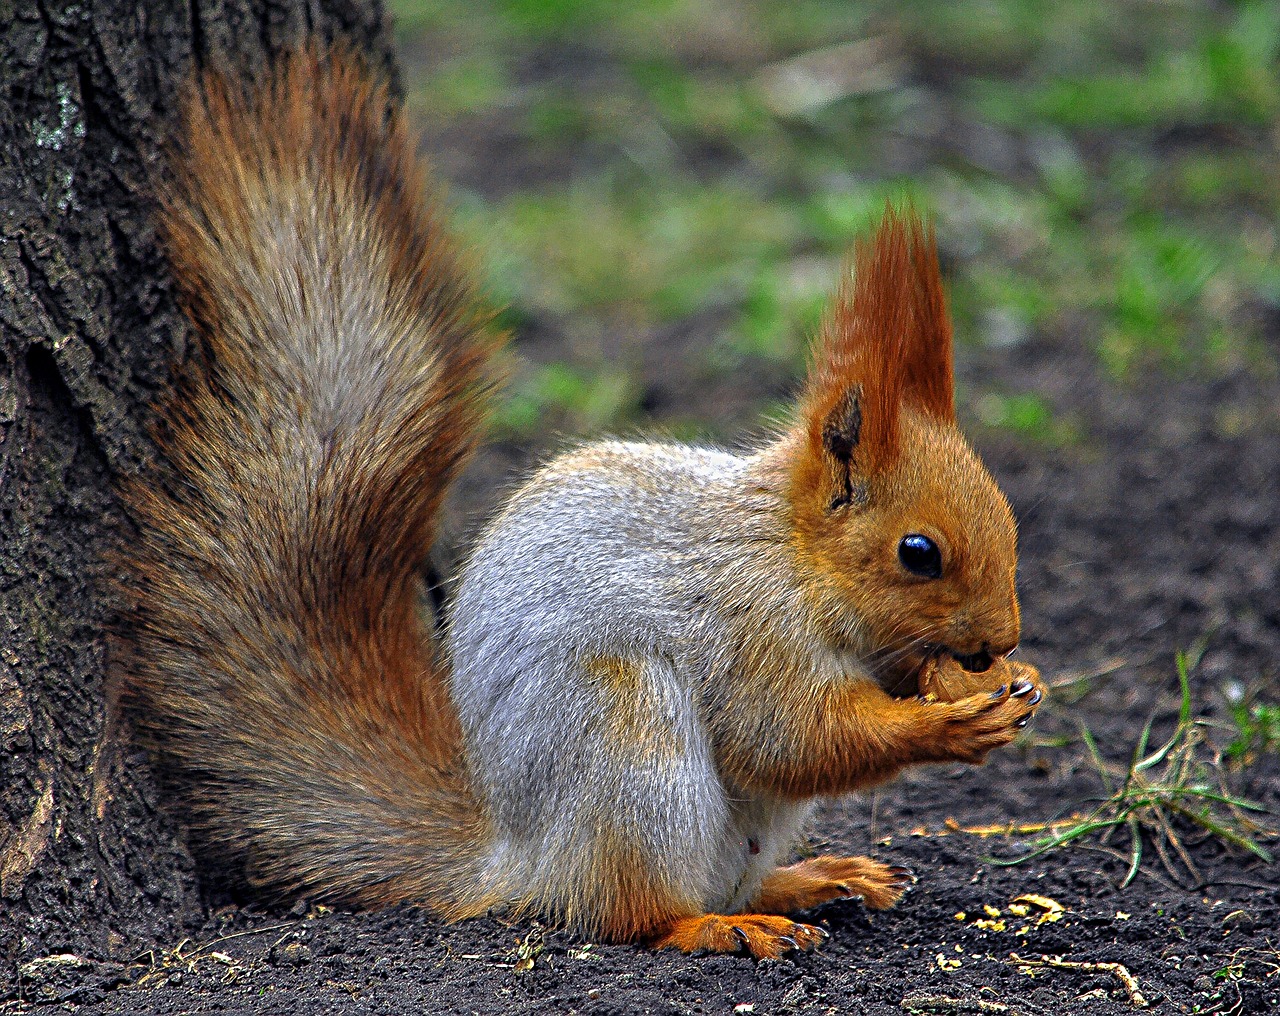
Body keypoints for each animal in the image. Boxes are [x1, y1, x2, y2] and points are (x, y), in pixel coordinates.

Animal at [115, 41, 1044, 957]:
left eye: (1008, 522)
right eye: (917, 553)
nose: (1003, 638)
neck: (790, 553)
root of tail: (524, 859)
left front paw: (1011, 680)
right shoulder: (750, 629)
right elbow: (792, 736)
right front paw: (948, 725)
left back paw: (811, 879)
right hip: (628, 746)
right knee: (632, 910)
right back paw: (718, 923)